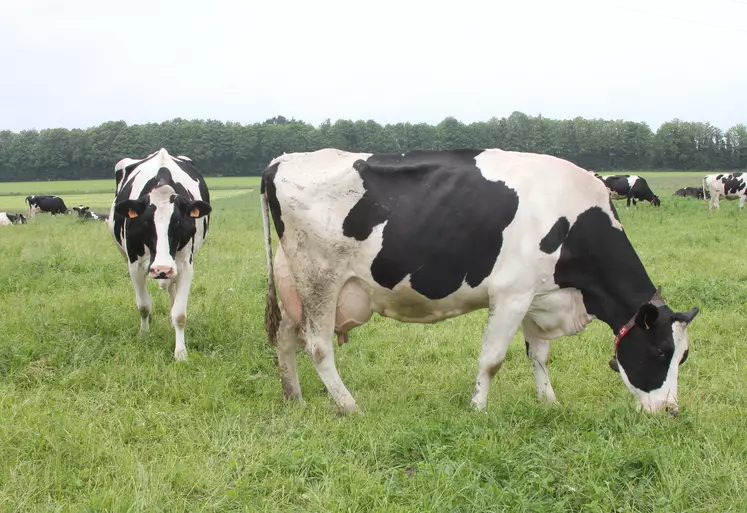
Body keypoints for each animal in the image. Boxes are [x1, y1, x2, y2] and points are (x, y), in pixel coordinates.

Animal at [106, 147, 210, 360]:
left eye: (178, 222)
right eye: (145, 222)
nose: (161, 268)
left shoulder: (185, 265)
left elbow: (179, 313)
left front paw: (180, 353)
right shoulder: (135, 265)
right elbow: (144, 305)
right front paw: (144, 336)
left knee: (172, 292)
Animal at [260, 146, 700, 414]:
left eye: (683, 356)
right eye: (661, 352)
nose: (670, 411)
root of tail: (280, 161)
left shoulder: (536, 294)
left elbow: (539, 356)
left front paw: (549, 403)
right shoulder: (511, 294)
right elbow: (492, 360)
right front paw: (477, 409)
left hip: (293, 281)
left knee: (284, 337)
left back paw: (293, 398)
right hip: (320, 278)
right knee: (317, 346)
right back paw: (350, 407)